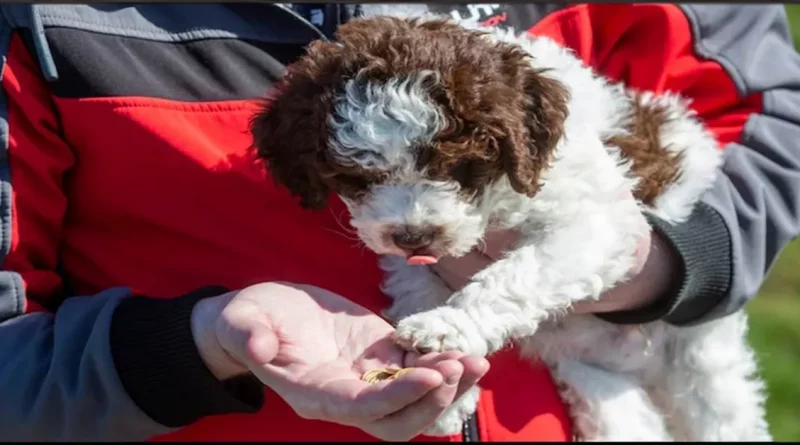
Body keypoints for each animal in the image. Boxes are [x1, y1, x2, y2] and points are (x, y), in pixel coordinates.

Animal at [248, 13, 768, 440]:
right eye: (356, 179)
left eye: (456, 167)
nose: (413, 236)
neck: (496, 200)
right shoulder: (406, 253)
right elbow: (416, 281)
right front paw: (445, 395)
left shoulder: (597, 221)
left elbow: (516, 274)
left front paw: (448, 327)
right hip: (601, 385)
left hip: (703, 364)